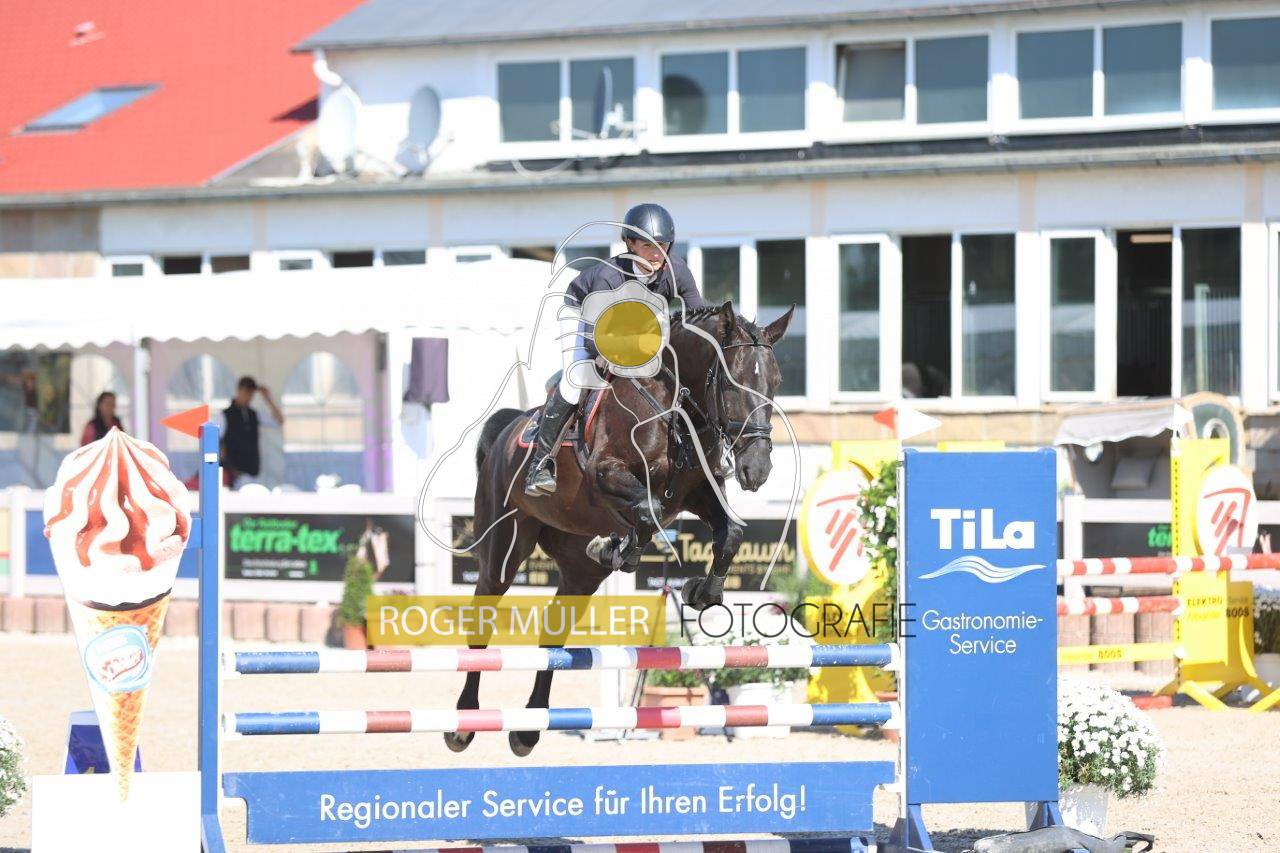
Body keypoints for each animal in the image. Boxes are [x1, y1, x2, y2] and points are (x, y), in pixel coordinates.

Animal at [447, 300, 793, 756]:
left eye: (776, 383)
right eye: (733, 385)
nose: (758, 469)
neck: (671, 403)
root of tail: (506, 430)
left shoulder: (699, 492)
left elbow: (728, 534)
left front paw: (700, 592)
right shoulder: (606, 474)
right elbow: (647, 511)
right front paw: (620, 548)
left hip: (578, 574)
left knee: (553, 635)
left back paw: (528, 730)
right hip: (503, 551)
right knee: (482, 622)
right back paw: (463, 723)